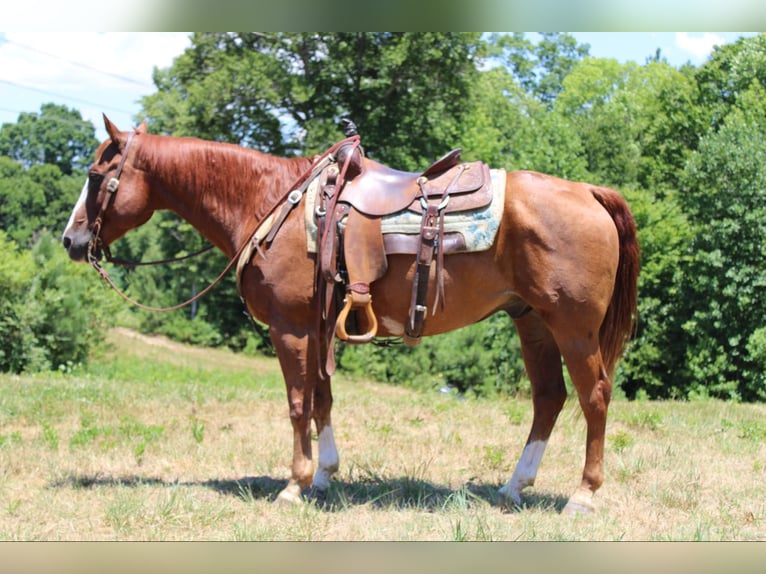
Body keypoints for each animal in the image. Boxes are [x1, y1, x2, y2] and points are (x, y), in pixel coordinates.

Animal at [63, 116, 639, 515]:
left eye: (94, 175)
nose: (71, 240)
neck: (271, 204)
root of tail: (590, 192)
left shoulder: (290, 328)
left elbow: (298, 403)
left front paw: (294, 485)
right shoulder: (317, 326)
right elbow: (323, 398)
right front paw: (325, 475)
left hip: (573, 327)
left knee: (593, 397)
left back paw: (584, 496)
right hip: (532, 321)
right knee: (549, 399)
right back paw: (514, 486)